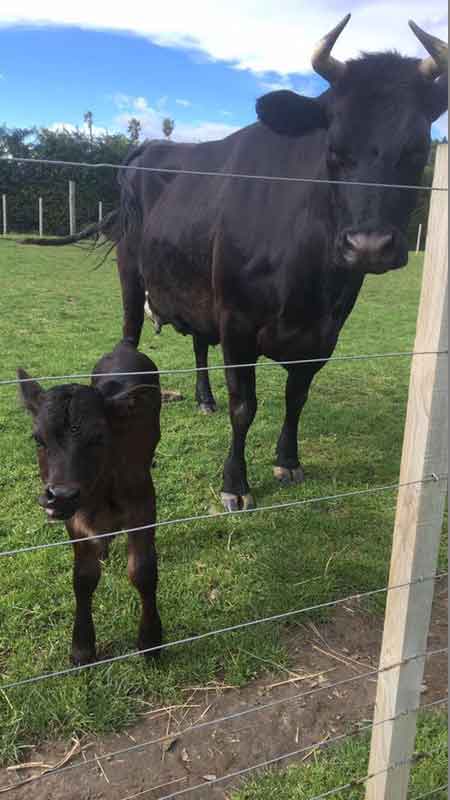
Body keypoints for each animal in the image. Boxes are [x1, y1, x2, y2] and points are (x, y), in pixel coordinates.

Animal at [18, 341, 163, 666]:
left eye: (99, 438)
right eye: (38, 439)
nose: (60, 495)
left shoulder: (144, 506)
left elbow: (143, 571)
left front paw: (150, 641)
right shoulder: (75, 520)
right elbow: (83, 577)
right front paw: (82, 647)